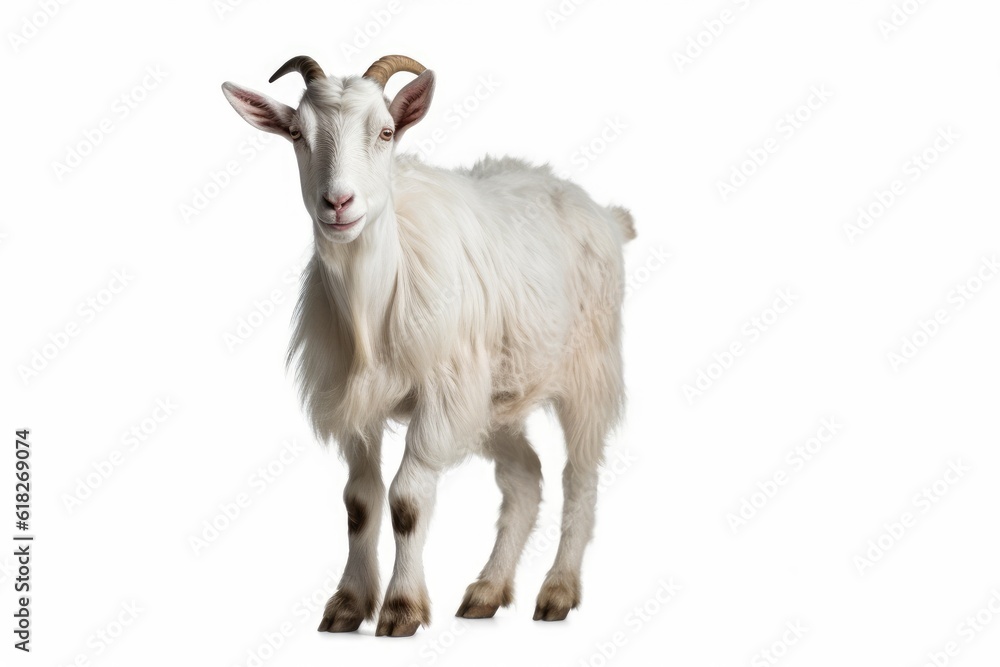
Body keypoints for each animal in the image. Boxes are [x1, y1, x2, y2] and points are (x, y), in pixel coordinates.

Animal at [222, 54, 635, 637]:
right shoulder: (358, 405)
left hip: (588, 370)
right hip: (495, 399)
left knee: (580, 477)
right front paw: (349, 603)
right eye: (298, 134)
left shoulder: (441, 396)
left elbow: (407, 501)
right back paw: (487, 591)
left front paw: (401, 608)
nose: (338, 202)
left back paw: (557, 591)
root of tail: (603, 212)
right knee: (525, 478)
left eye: (386, 131)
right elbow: (360, 503)